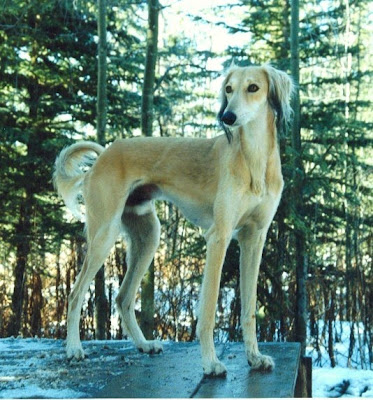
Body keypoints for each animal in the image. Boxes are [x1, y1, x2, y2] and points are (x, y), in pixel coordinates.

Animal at [54, 64, 294, 376]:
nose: (227, 117)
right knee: (75, 294)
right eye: (229, 89)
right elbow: (208, 308)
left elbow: (250, 309)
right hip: (103, 235)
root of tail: (105, 153)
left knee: (123, 297)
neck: (254, 159)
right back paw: (73, 348)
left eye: (253, 87)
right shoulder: (219, 236)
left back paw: (144, 344)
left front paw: (254, 357)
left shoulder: (254, 238)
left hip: (147, 237)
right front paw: (210, 362)